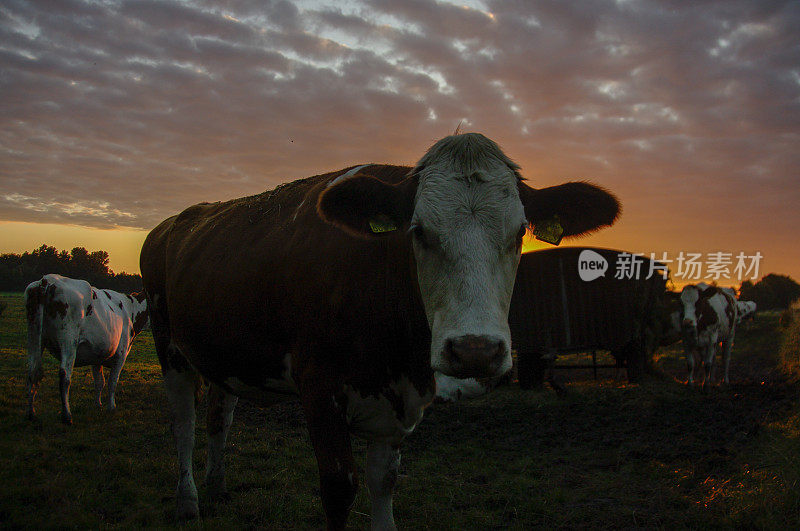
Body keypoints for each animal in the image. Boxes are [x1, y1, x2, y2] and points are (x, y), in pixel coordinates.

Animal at [24, 274, 148, 424]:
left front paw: (98, 405)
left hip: (34, 335)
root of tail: (47, 280)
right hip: (69, 339)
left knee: (32, 371)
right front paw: (111, 407)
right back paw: (67, 416)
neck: (131, 309)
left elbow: (100, 381)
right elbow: (113, 381)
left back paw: (31, 414)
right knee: (64, 375)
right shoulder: (121, 353)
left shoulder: (97, 355)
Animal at [142, 132, 620, 528]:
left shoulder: (398, 404)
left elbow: (384, 482)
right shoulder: (320, 388)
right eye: (419, 231)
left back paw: (217, 485)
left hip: (222, 353)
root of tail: (176, 220)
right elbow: (339, 490)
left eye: (521, 231)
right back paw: (188, 500)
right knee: (183, 422)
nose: (475, 351)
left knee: (219, 416)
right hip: (169, 347)